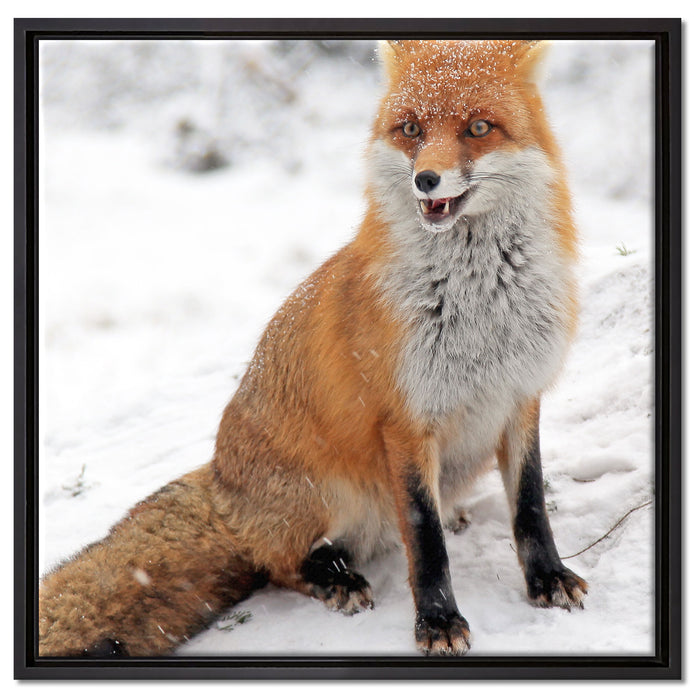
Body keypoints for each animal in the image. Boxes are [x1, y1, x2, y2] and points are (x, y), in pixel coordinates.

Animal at [39, 39, 587, 658]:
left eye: (477, 128)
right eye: (411, 128)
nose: (426, 179)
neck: (479, 307)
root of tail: (221, 483)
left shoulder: (520, 396)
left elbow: (531, 508)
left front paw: (547, 579)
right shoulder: (404, 422)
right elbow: (425, 540)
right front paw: (438, 621)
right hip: (328, 494)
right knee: (277, 563)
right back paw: (333, 578)